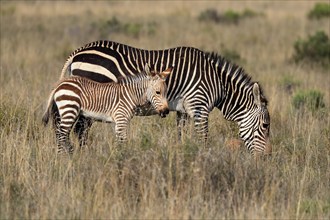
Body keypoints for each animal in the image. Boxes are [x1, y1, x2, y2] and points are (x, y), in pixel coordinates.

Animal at [42, 63, 171, 153]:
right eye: (158, 92)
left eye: (166, 92)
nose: (166, 111)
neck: (130, 95)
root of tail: (60, 83)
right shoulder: (121, 119)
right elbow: (123, 141)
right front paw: (123, 159)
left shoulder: (119, 122)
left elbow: (119, 141)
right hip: (69, 109)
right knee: (61, 135)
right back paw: (63, 158)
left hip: (69, 112)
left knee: (62, 134)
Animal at [59, 40, 270, 156]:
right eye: (265, 126)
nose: (266, 158)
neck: (218, 83)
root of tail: (78, 52)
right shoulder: (199, 106)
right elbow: (203, 138)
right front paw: (204, 160)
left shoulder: (184, 110)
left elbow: (181, 136)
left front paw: (183, 155)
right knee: (80, 130)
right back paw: (85, 155)